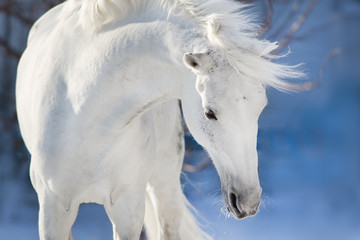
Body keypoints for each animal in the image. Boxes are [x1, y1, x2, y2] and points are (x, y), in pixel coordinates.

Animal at [16, 0, 304, 240]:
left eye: (260, 108)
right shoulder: (51, 208)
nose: (248, 200)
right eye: (210, 113)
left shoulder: (128, 207)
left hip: (164, 183)